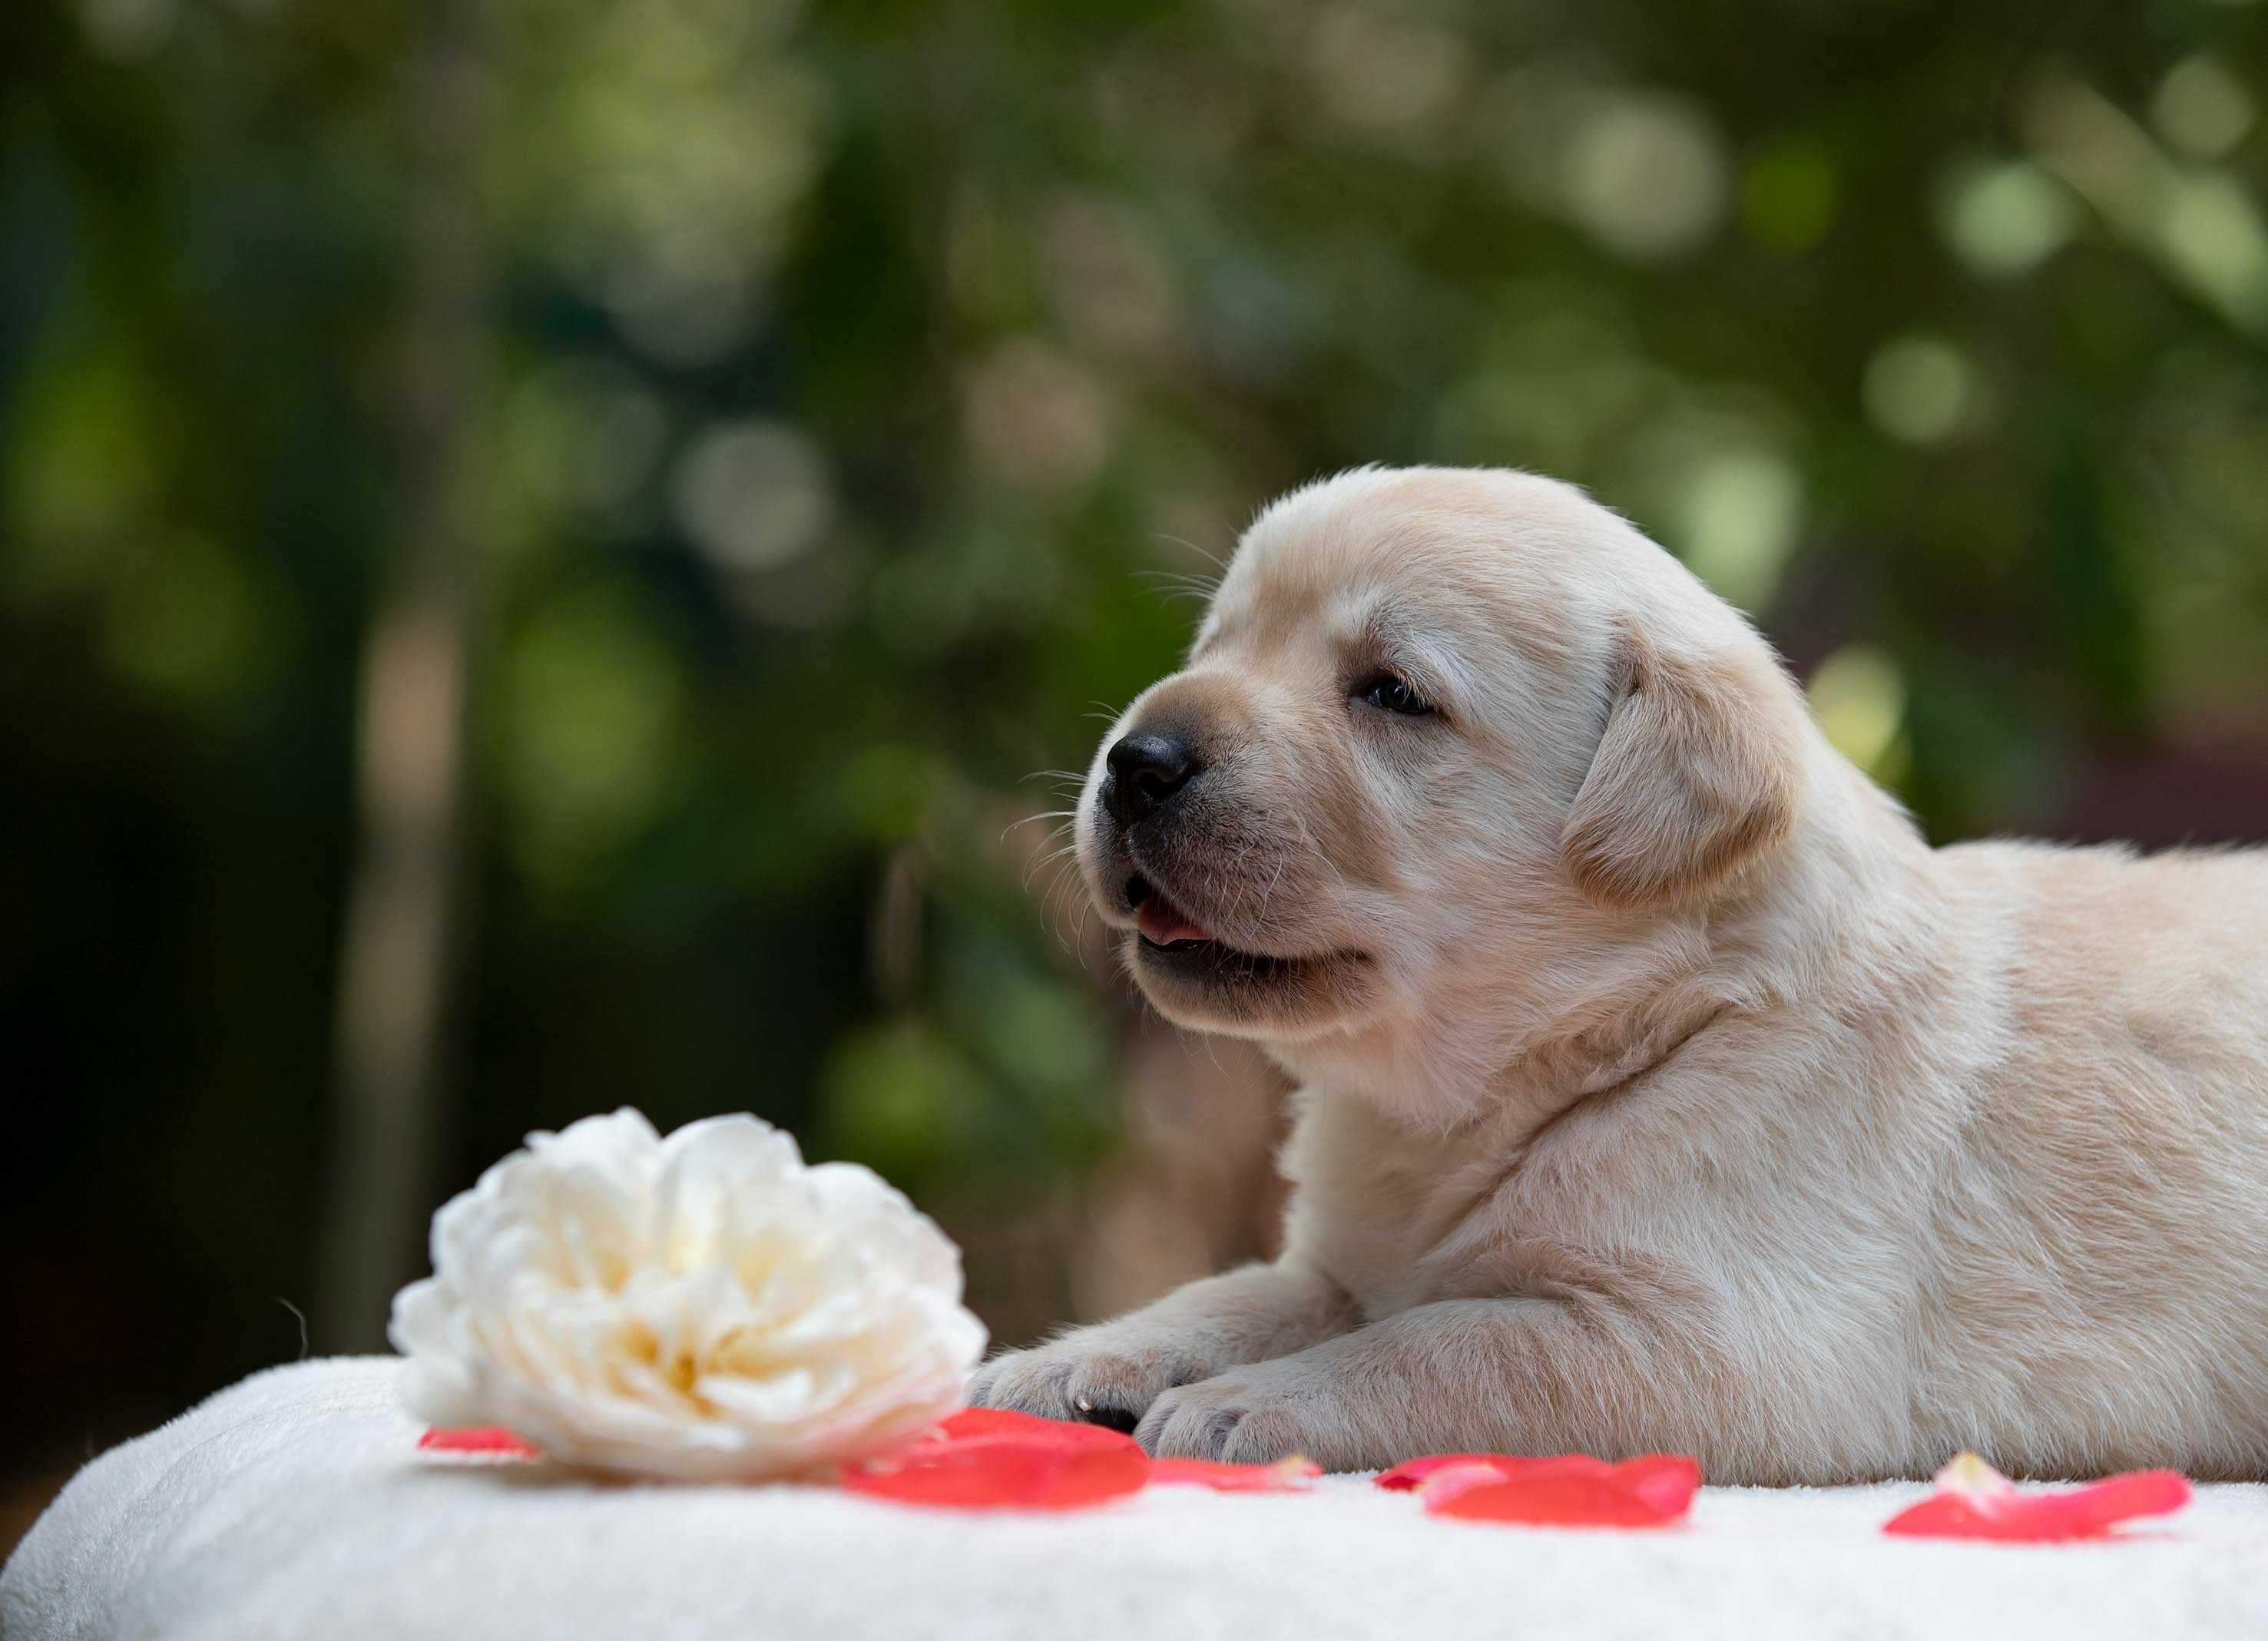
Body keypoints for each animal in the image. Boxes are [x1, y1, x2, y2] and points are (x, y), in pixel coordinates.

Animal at [965, 465, 2268, 1487]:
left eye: (1392, 692)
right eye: (1215, 647)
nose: (1135, 761)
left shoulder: (1708, 1350)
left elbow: (1450, 1344)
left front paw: (1249, 1401)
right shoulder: (1350, 1254)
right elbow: (1242, 1291)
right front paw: (1076, 1357)